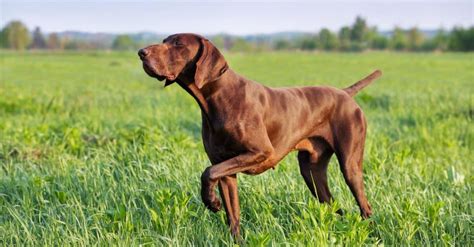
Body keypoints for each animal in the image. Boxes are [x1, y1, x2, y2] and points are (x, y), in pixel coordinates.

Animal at [138, 32, 382, 237]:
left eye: (178, 44)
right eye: (164, 41)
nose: (141, 52)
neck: (219, 98)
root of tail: (345, 93)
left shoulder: (260, 153)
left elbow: (207, 173)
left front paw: (211, 202)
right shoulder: (225, 170)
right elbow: (232, 215)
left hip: (350, 166)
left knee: (365, 206)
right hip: (311, 172)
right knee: (333, 205)